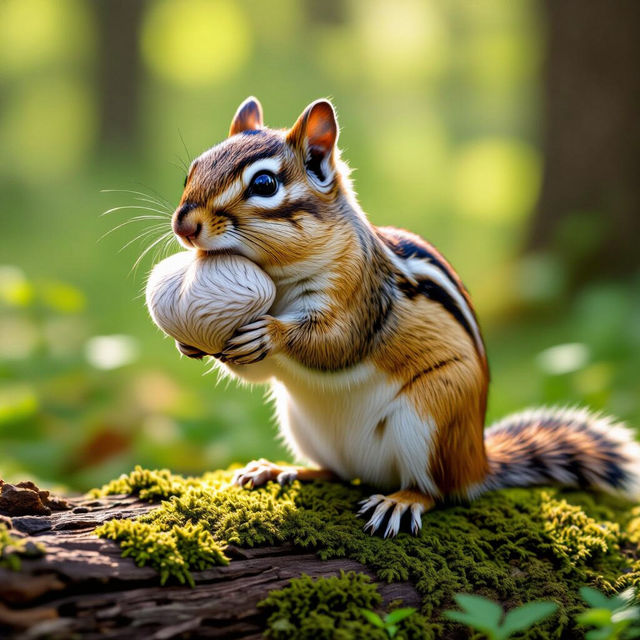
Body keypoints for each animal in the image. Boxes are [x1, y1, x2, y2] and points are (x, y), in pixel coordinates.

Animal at [170, 96, 640, 537]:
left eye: (264, 184)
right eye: (192, 169)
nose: (184, 226)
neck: (278, 279)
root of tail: (479, 463)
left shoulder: (361, 296)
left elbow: (336, 344)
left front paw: (271, 332)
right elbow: (259, 372)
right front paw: (188, 343)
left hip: (431, 419)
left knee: (438, 492)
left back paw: (401, 501)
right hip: (303, 426)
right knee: (336, 472)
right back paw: (281, 469)